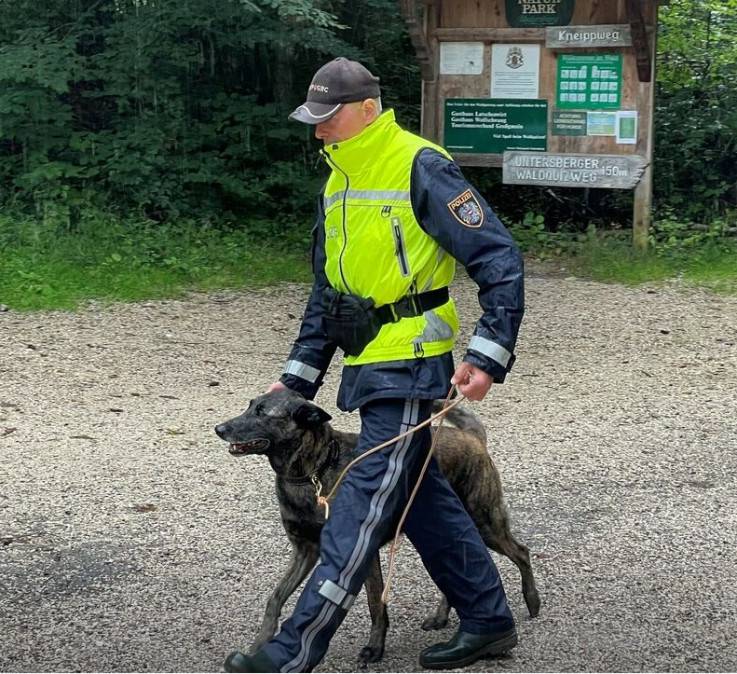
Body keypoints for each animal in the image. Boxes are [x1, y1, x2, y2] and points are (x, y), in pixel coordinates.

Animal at [216, 386, 536, 664]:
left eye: (262, 412)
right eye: (249, 406)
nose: (219, 428)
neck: (313, 471)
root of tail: (471, 437)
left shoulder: (361, 552)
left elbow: (374, 604)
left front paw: (374, 649)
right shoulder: (305, 551)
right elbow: (275, 598)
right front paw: (260, 644)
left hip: (487, 523)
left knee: (521, 552)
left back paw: (532, 601)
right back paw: (442, 616)